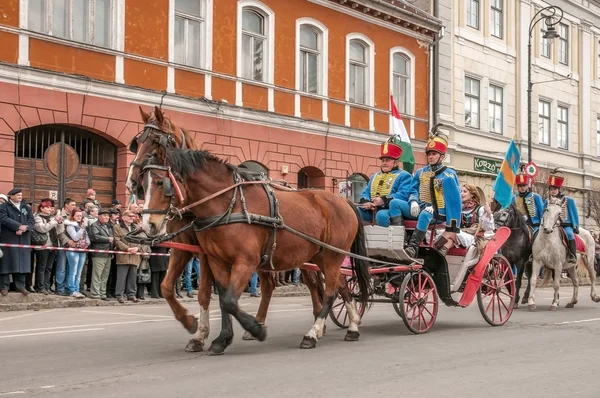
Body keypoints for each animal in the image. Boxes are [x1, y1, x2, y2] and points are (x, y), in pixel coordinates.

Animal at [126, 106, 328, 354]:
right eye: (137, 142)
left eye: (156, 141)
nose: (132, 182)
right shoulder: (186, 248)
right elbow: (168, 287)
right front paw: (194, 326)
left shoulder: (207, 254)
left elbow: (206, 293)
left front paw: (204, 333)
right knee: (270, 285)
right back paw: (260, 323)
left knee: (313, 281)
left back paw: (317, 323)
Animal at [140, 147, 372, 354]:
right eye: (142, 184)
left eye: (161, 183)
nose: (148, 225)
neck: (228, 204)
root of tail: (344, 201)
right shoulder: (216, 260)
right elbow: (221, 298)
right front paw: (220, 338)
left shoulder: (245, 261)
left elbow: (228, 300)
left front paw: (255, 329)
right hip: (321, 257)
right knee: (341, 286)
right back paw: (352, 326)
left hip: (332, 256)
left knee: (330, 292)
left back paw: (313, 333)